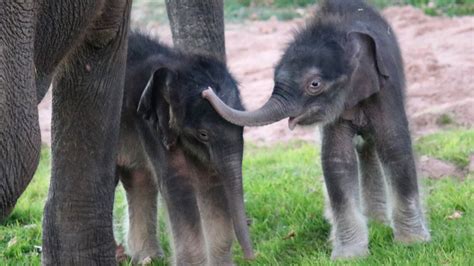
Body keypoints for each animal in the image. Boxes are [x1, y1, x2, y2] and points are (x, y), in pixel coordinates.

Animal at [116, 32, 254, 264]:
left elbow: (209, 181)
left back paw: (147, 259)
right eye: (203, 134)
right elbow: (177, 183)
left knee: (138, 178)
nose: (252, 256)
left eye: (242, 127)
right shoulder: (150, 125)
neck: (175, 65)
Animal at [203, 0, 430, 260]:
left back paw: (378, 223)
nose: (206, 92)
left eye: (314, 84)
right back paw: (368, 223)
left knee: (370, 145)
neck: (341, 33)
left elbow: (395, 146)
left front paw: (413, 243)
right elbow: (336, 160)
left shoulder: (386, 89)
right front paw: (349, 256)